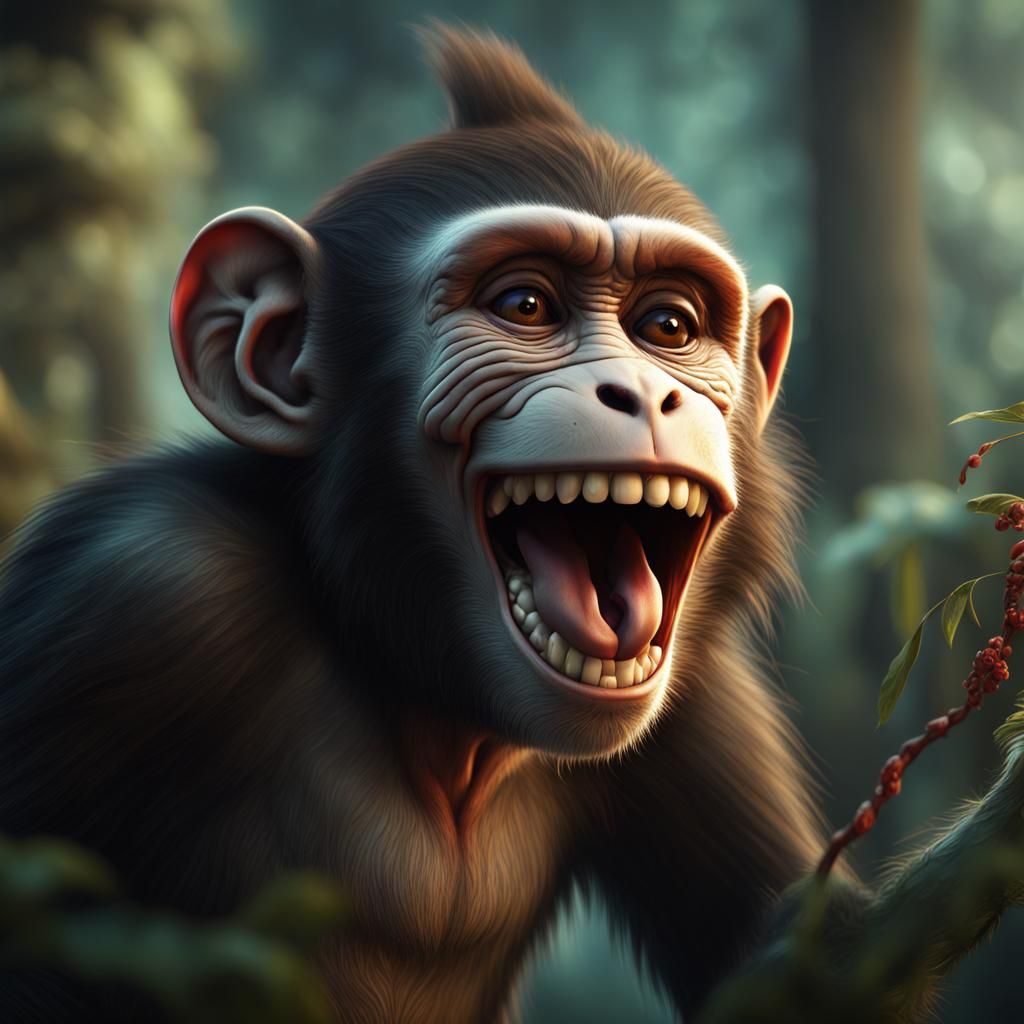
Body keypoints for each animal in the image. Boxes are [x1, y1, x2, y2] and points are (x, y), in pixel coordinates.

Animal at [6, 24, 998, 1024]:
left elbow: (813, 969)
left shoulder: (700, 688)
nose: (642, 390)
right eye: (524, 306)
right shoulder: (143, 592)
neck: (420, 696)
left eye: (669, 327)